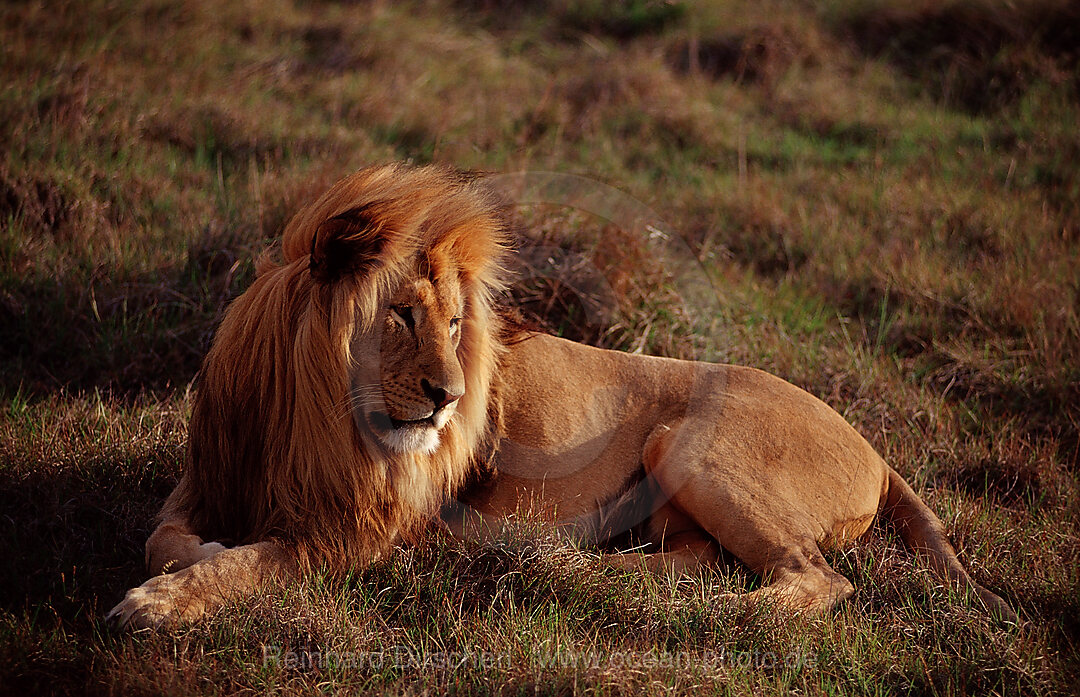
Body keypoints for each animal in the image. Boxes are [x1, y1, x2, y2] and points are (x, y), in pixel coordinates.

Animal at [105, 162, 1015, 626]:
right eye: (401, 314)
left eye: (458, 322)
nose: (448, 398)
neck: (306, 415)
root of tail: (878, 450)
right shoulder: (210, 473)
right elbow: (162, 534)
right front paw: (190, 554)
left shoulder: (353, 535)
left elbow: (251, 562)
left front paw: (157, 603)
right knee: (702, 562)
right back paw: (575, 567)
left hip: (683, 440)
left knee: (817, 581)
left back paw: (721, 615)